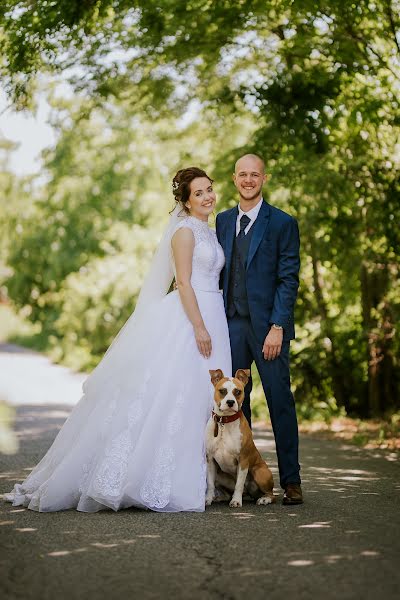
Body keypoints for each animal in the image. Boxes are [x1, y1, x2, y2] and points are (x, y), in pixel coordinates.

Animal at [206, 368, 276, 508]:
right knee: (227, 492)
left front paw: (236, 501)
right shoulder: (210, 459)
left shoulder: (243, 460)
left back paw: (264, 499)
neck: (224, 423)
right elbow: (210, 484)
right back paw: (220, 498)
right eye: (222, 391)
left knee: (271, 494)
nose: (230, 402)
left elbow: (239, 484)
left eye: (238, 391)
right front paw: (208, 499)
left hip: (259, 472)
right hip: (219, 475)